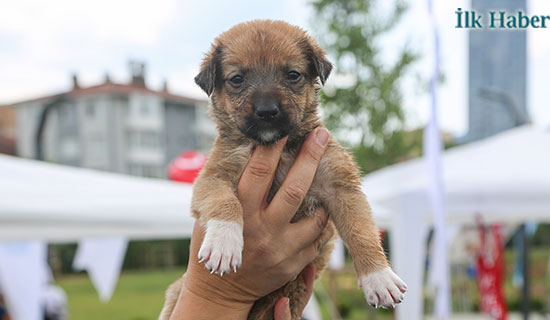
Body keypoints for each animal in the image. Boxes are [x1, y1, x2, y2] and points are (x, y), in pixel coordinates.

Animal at [162, 20, 408, 320]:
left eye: (292, 75)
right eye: (237, 79)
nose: (267, 111)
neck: (278, 149)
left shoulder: (341, 186)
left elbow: (361, 231)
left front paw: (379, 278)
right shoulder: (212, 178)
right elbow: (226, 203)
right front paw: (224, 244)